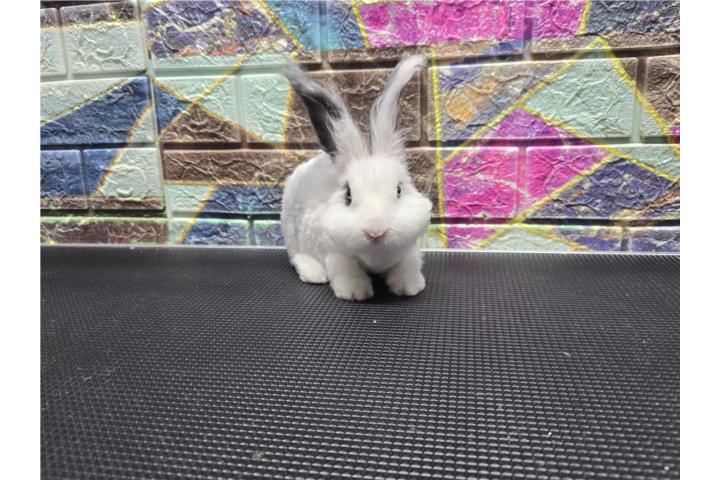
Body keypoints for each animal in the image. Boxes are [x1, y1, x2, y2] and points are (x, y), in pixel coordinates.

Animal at [280, 55, 432, 301]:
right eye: (348, 195)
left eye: (399, 190)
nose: (376, 231)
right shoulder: (337, 255)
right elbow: (347, 271)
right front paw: (355, 293)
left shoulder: (409, 251)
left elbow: (407, 266)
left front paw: (410, 288)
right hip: (291, 232)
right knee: (296, 256)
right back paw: (314, 273)